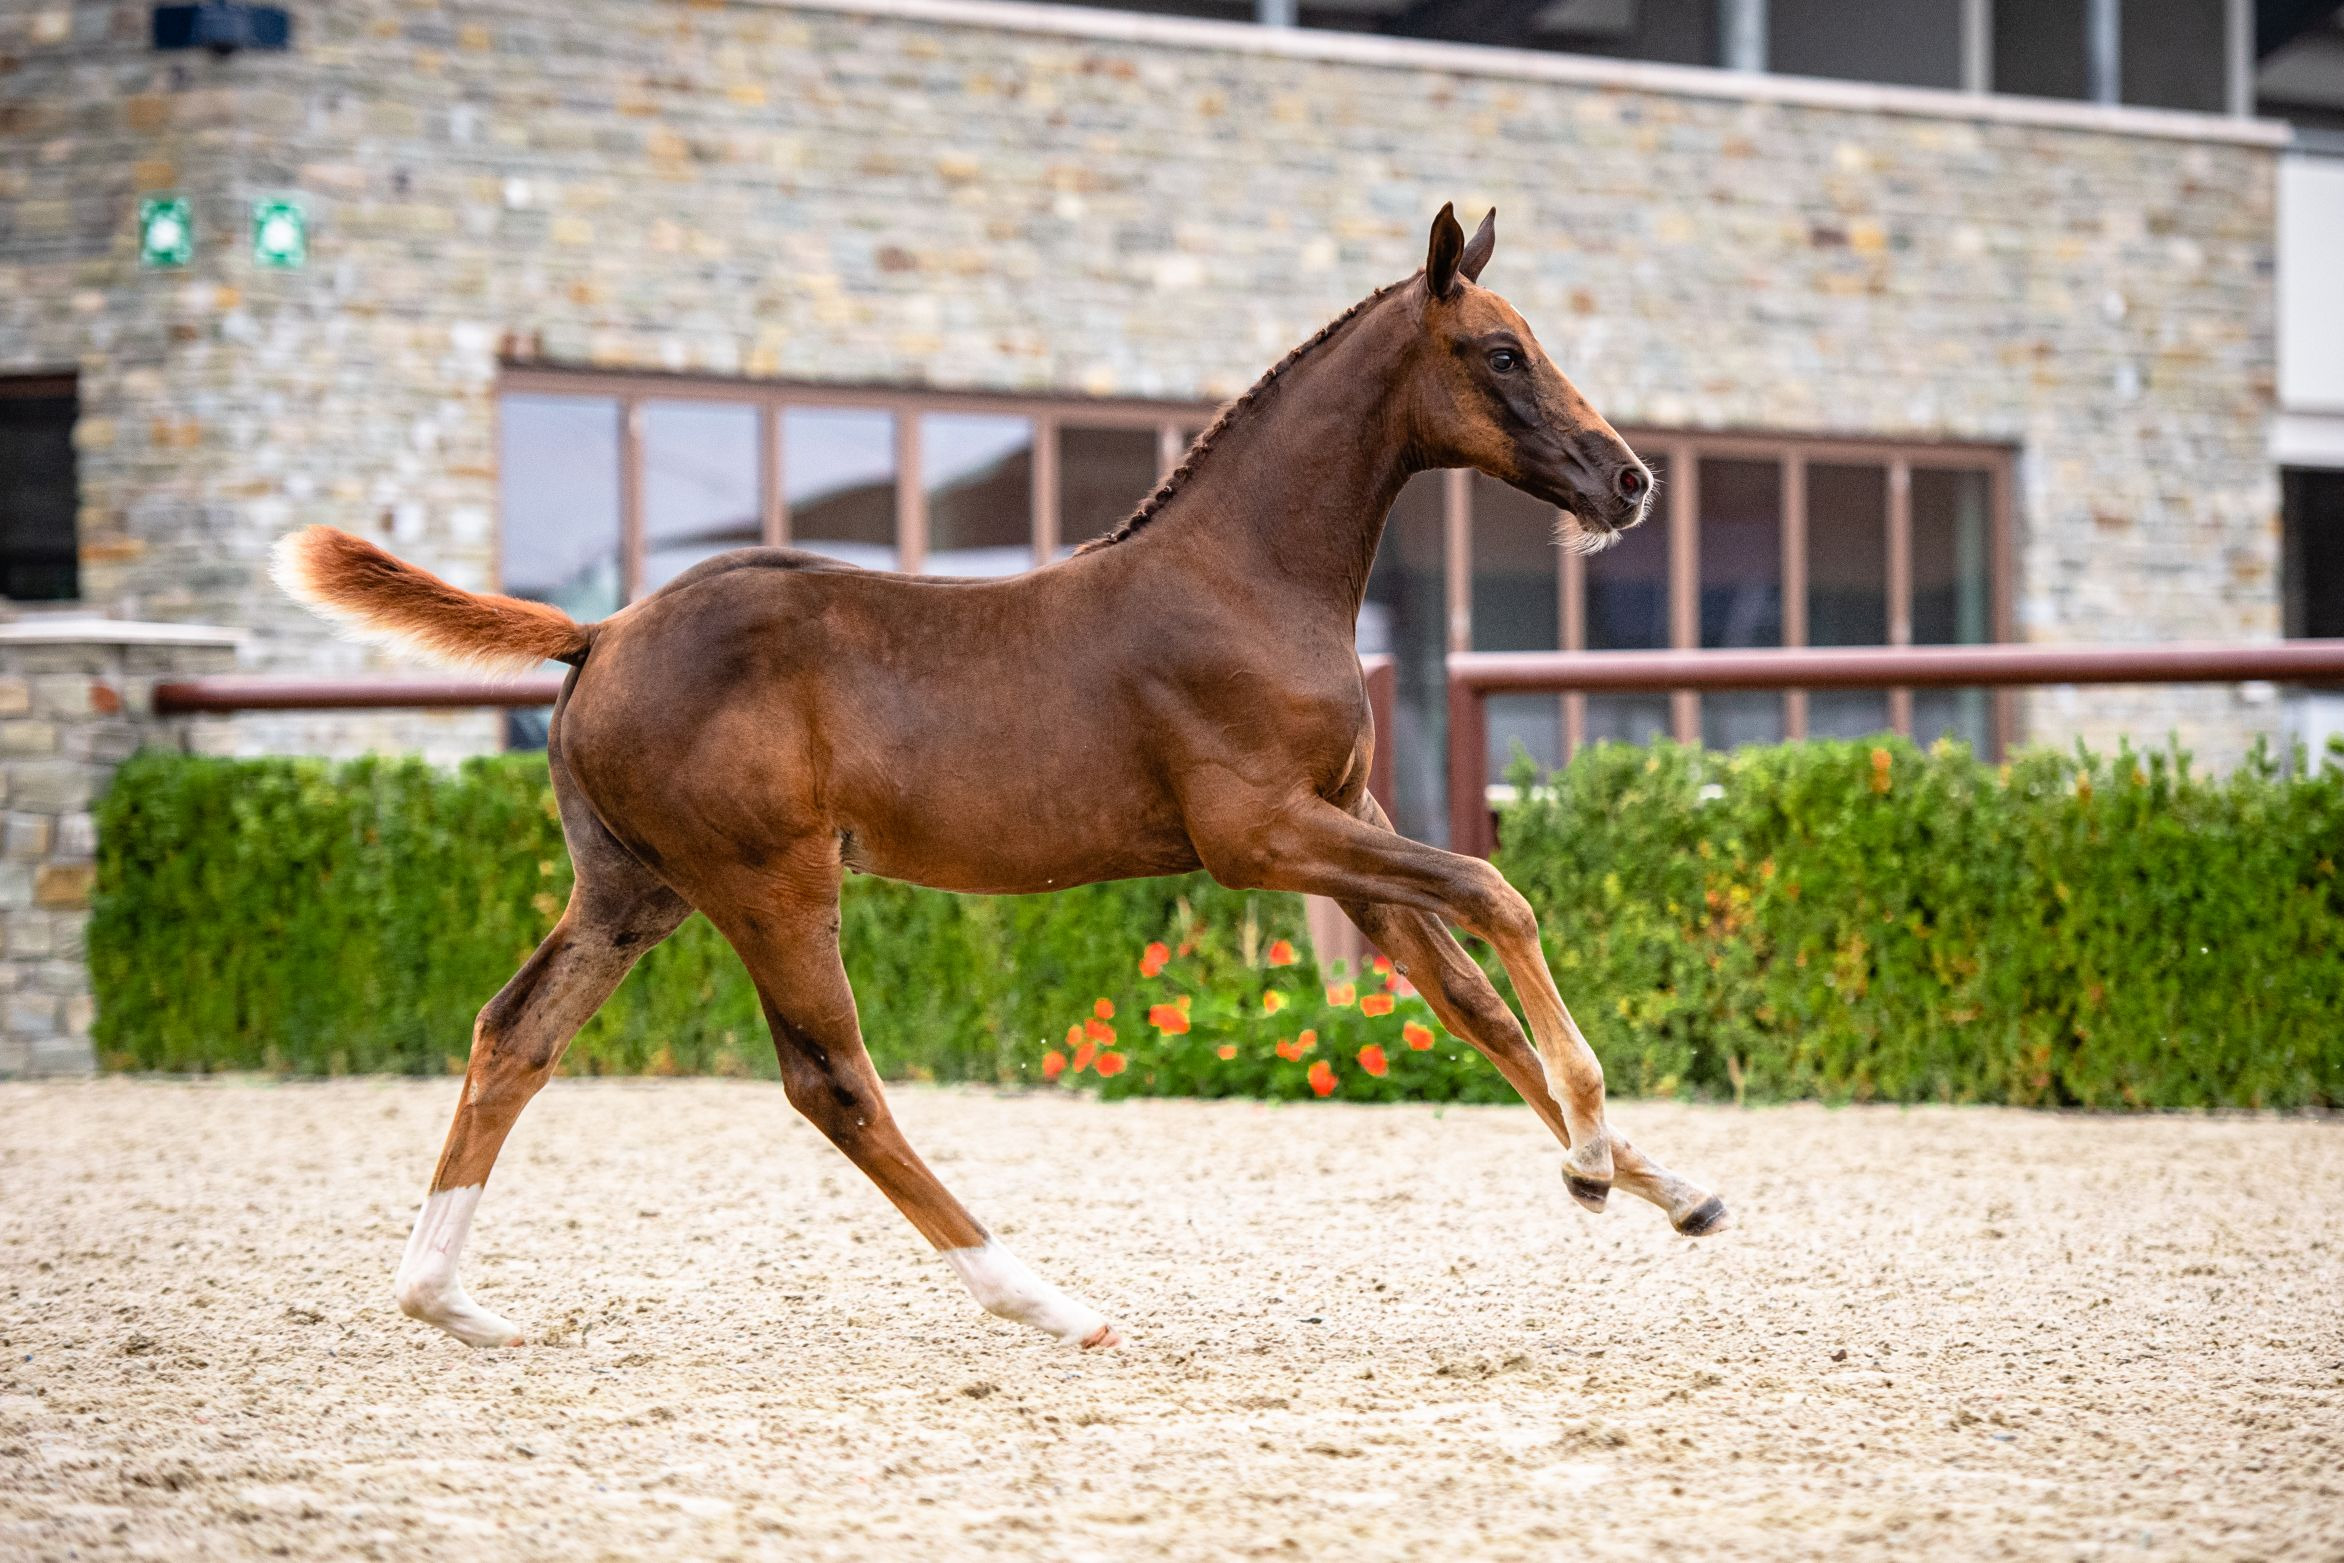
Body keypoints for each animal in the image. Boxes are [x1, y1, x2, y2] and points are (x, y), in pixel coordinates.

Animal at [276, 203, 1729, 1354]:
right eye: (1501, 351)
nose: (1629, 481)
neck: (1245, 578)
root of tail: (600, 631)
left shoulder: (1345, 830)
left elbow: (1471, 999)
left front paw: (1668, 1188)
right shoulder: (1261, 835)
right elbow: (1496, 891)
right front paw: (1590, 1155)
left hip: (635, 890)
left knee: (514, 1032)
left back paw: (446, 1299)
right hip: (768, 881)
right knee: (832, 1081)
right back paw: (1047, 1299)